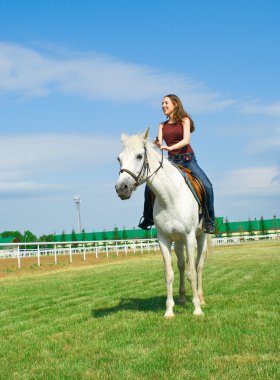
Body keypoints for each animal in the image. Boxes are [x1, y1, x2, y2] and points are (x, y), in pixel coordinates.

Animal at [115, 128, 209, 318]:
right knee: (181, 265)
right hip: (178, 241)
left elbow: (192, 272)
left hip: (200, 237)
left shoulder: (189, 237)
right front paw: (169, 310)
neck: (170, 197)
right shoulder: (164, 239)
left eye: (139, 156)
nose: (121, 188)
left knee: (198, 266)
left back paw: (201, 298)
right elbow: (169, 273)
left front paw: (197, 309)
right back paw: (182, 298)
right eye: (119, 159)